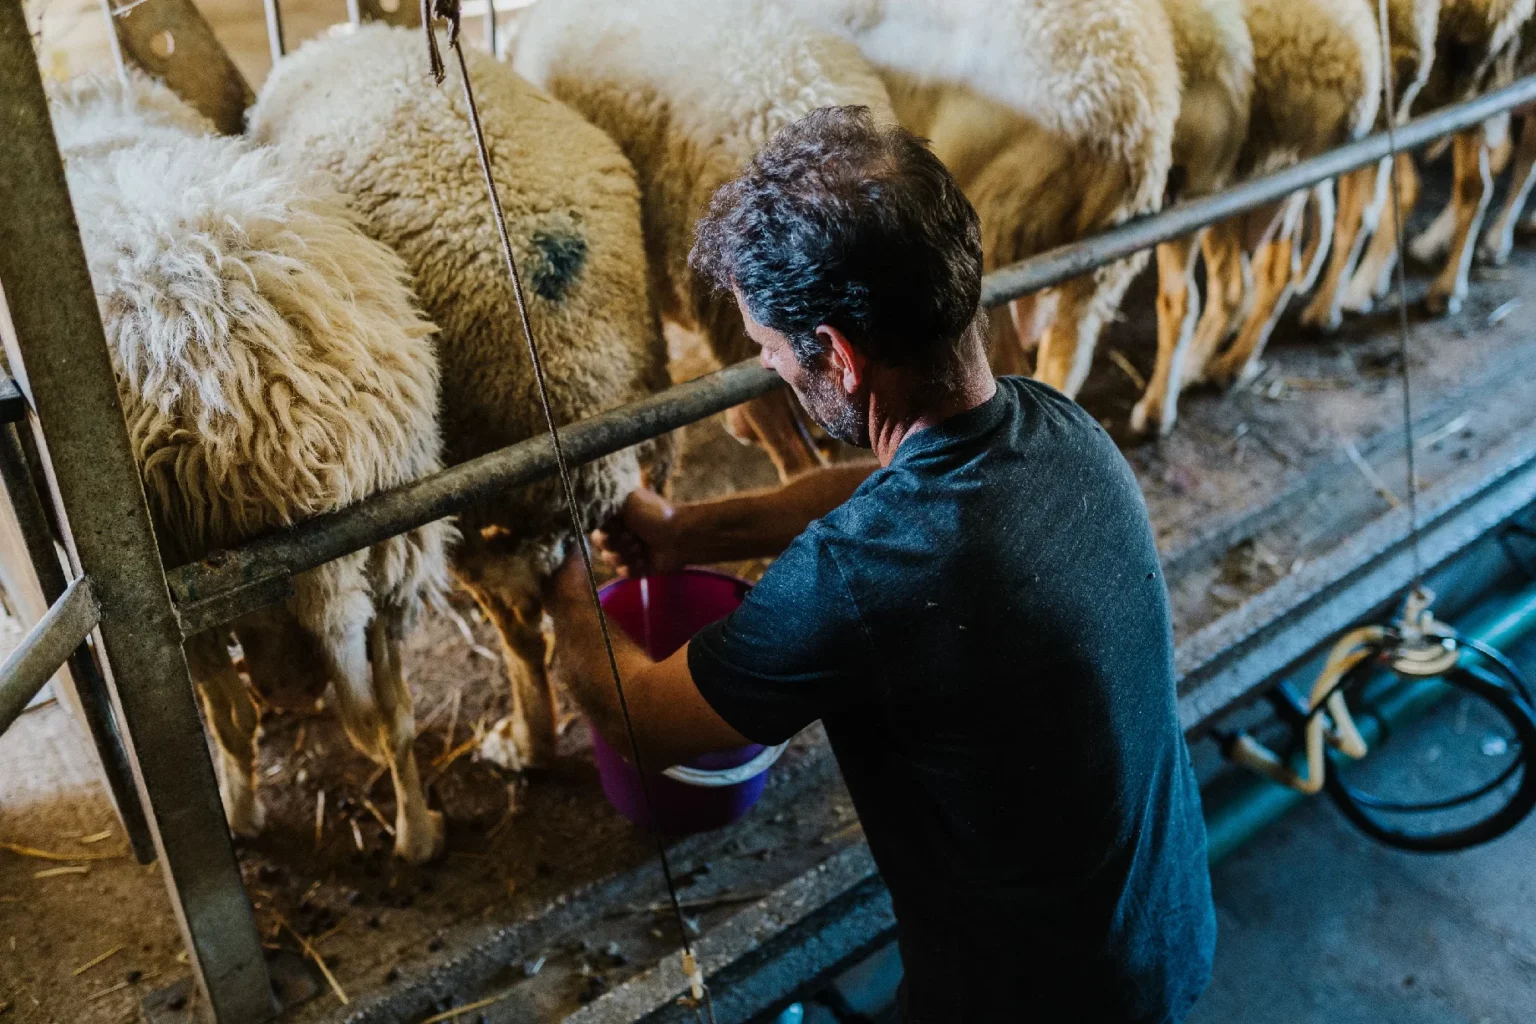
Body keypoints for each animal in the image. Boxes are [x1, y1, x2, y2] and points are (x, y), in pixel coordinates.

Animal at [49, 67, 454, 859]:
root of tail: (288, 415)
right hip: (398, 545)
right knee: (393, 711)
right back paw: (418, 833)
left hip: (184, 587)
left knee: (235, 724)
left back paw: (242, 814)